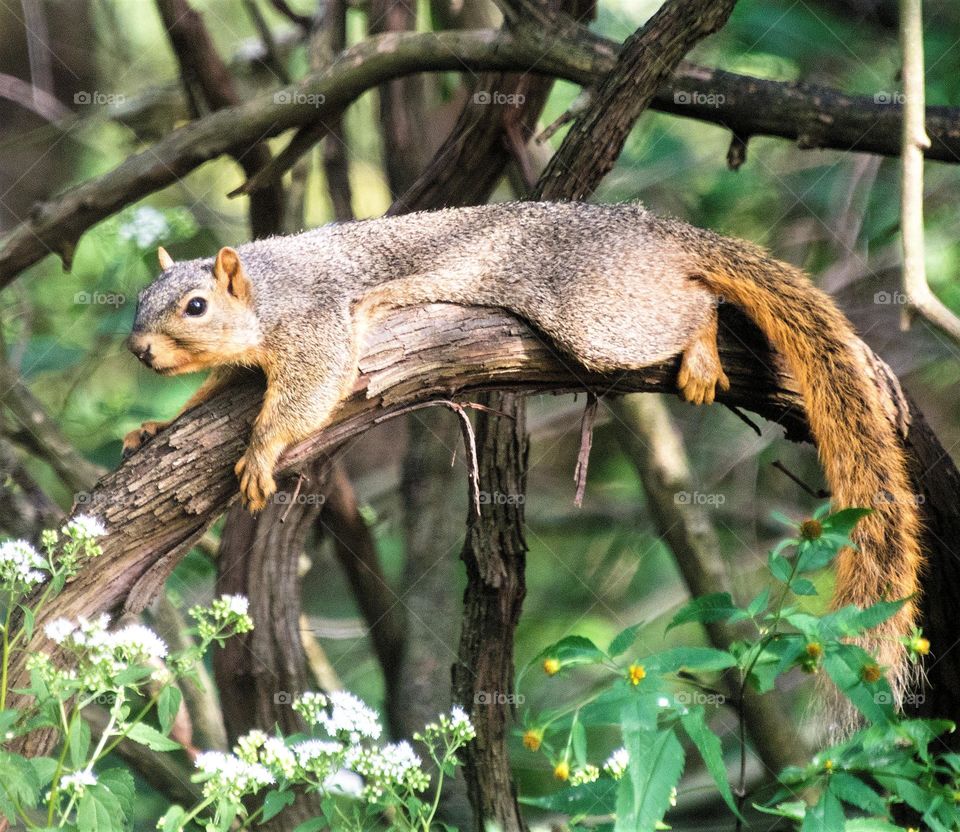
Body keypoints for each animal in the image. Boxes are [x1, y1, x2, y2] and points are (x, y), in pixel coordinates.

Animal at [122, 202, 924, 696]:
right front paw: (152, 430)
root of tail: (659, 233)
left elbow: (308, 391)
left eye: (195, 306)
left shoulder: (317, 324)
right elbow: (213, 390)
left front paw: (261, 448)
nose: (138, 351)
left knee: (696, 303)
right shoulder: (247, 361)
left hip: (602, 316)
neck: (265, 291)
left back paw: (699, 346)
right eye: (137, 301)